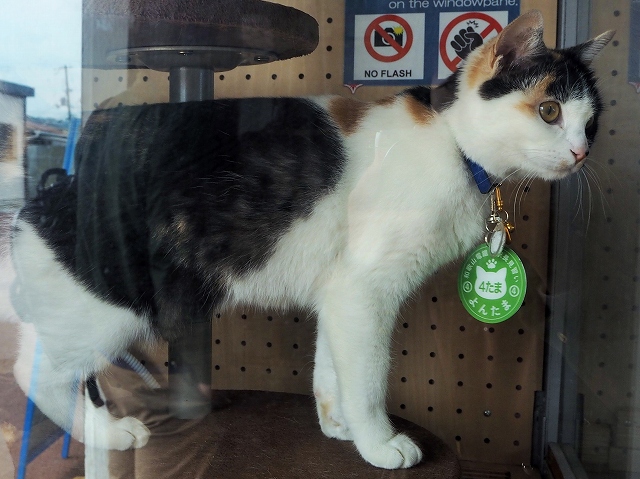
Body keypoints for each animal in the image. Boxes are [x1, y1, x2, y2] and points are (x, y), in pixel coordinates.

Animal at [8, 11, 608, 472]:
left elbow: (332, 364)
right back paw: (107, 433)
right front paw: (380, 443)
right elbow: (369, 375)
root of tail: (54, 190)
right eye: (549, 110)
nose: (581, 153)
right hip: (109, 302)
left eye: (592, 123)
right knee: (34, 369)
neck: (452, 144)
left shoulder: (340, 293)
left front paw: (337, 423)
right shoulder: (366, 290)